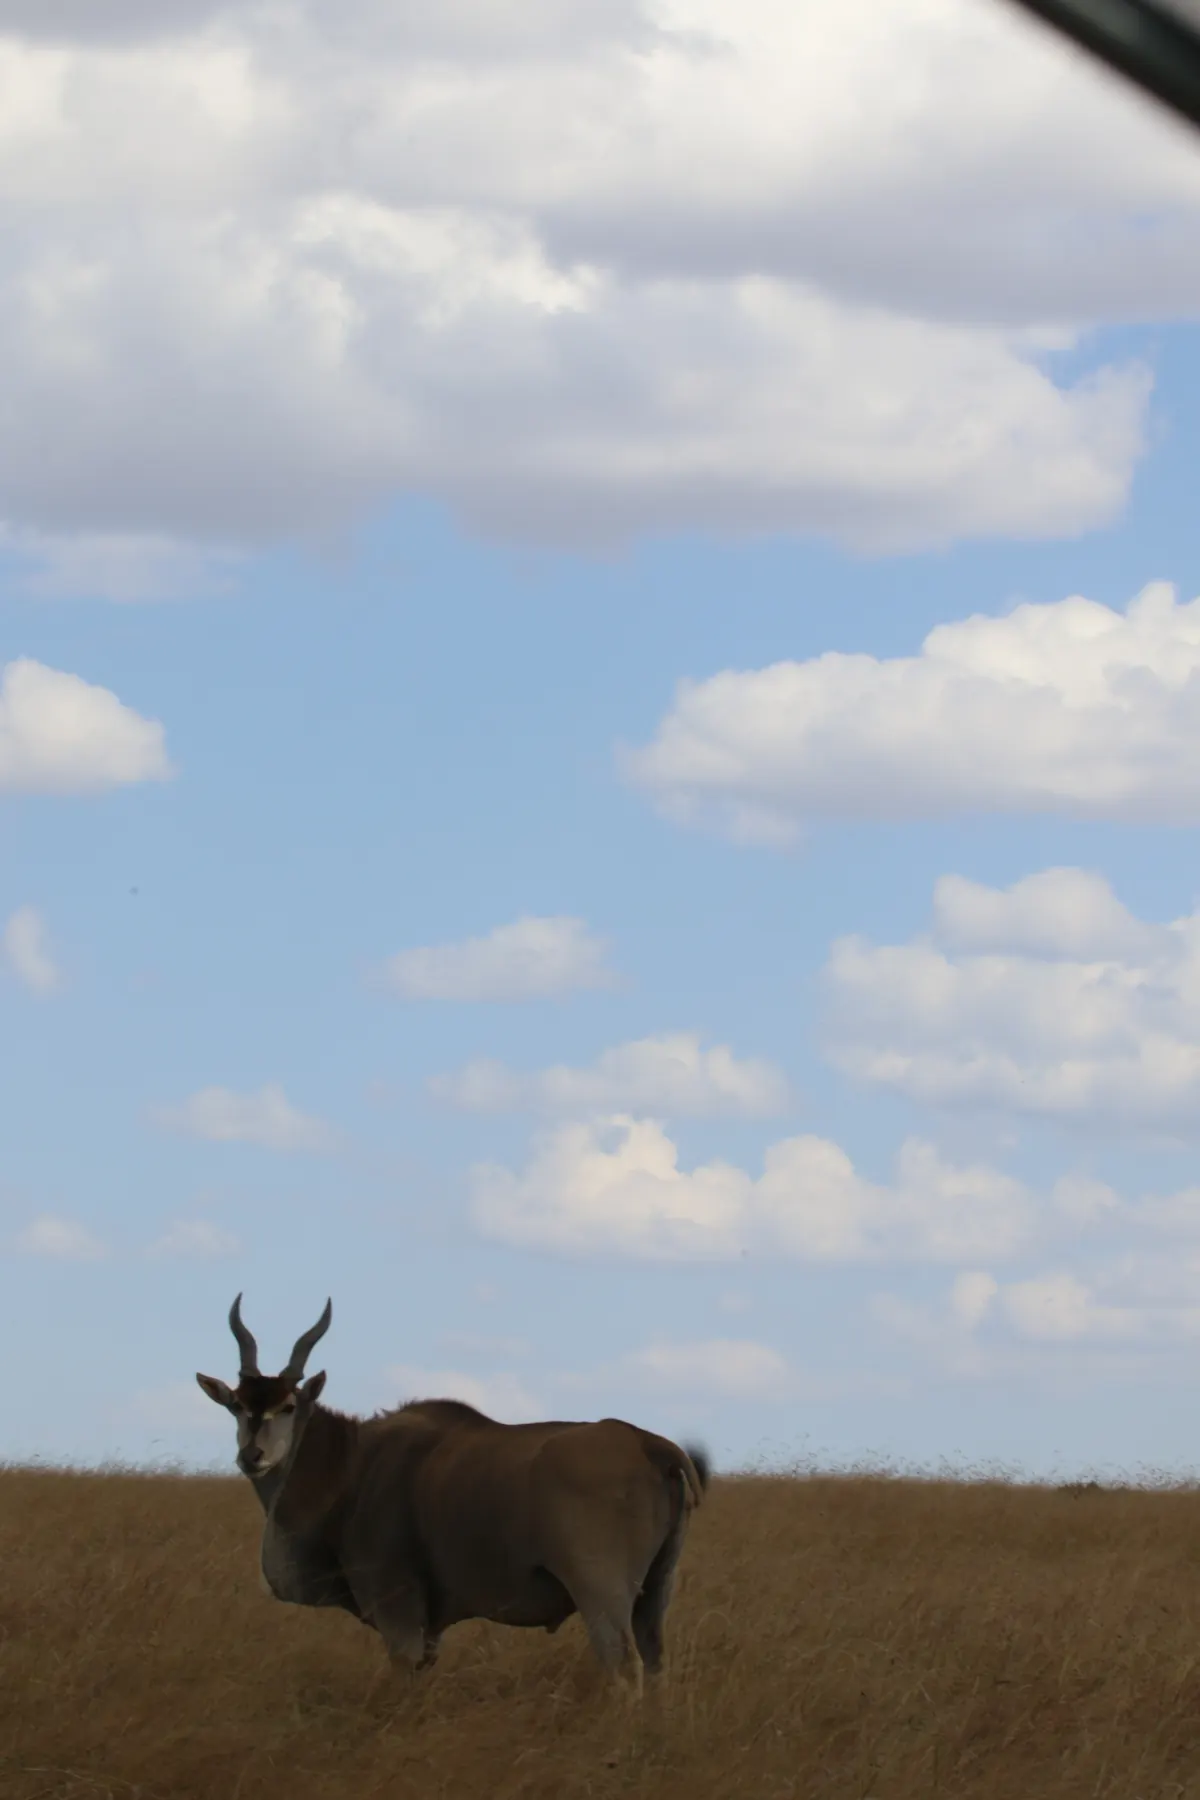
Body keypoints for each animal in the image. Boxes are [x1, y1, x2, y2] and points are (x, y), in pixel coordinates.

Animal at [196, 1295, 709, 1694]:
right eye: (237, 1406)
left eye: (287, 1406)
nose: (252, 1455)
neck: (350, 1464)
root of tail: (648, 1443)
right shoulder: (427, 1628)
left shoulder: (397, 1610)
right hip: (655, 1594)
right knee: (656, 1664)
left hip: (600, 1591)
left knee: (623, 1667)